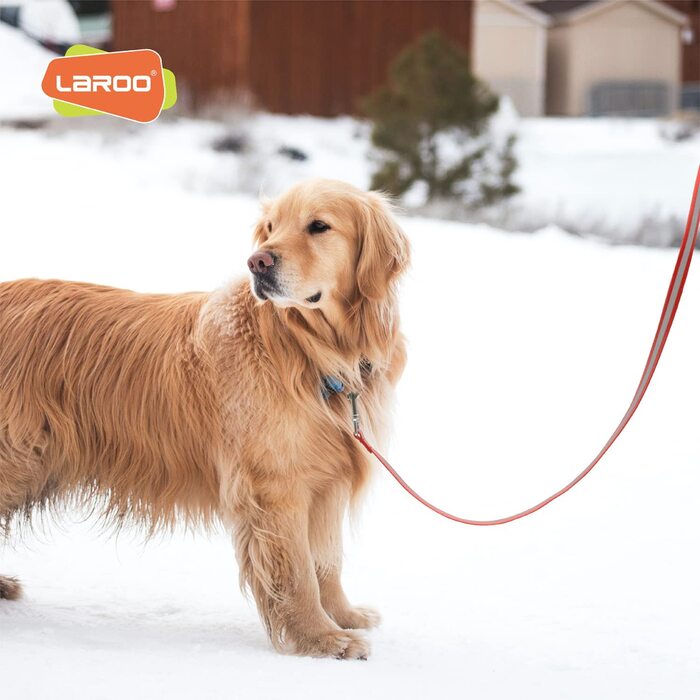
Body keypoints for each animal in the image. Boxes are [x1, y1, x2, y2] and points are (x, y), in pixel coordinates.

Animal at [0, 178, 410, 660]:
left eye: (319, 226)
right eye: (271, 228)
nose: (258, 261)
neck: (311, 350)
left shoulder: (327, 482)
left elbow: (327, 563)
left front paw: (343, 616)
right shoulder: (276, 487)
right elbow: (299, 573)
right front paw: (322, 638)